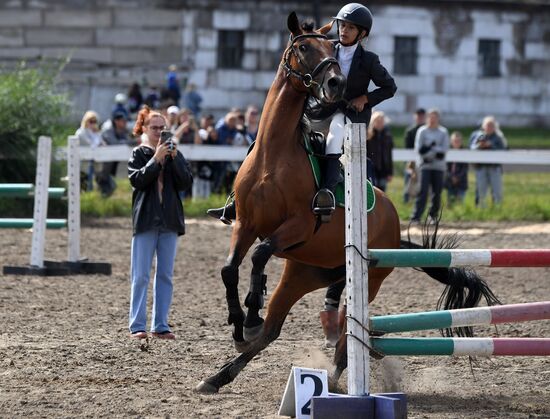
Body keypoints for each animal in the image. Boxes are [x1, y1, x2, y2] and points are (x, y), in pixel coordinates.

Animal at [197, 12, 500, 394]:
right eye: (305, 48)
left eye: (333, 50)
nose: (336, 84)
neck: (273, 154)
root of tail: (396, 227)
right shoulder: (246, 223)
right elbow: (229, 268)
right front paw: (239, 325)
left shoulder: (297, 226)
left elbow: (260, 255)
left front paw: (251, 313)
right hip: (304, 272)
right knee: (274, 330)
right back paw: (217, 377)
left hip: (366, 280)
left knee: (347, 333)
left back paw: (334, 378)